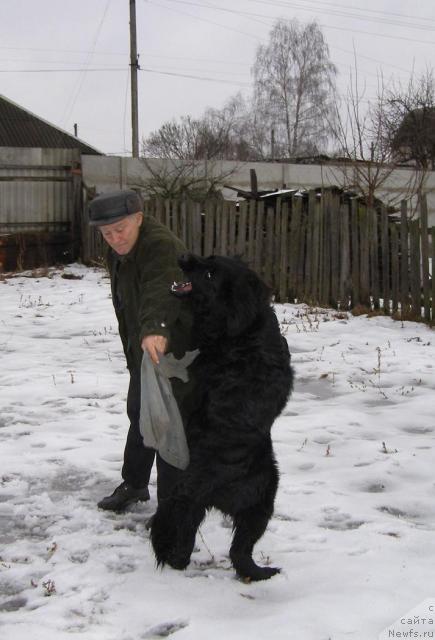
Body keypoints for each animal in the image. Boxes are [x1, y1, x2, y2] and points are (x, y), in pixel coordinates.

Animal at [149, 254, 292, 580]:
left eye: (211, 274)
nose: (184, 257)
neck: (244, 331)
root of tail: (217, 493)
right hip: (260, 505)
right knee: (235, 550)